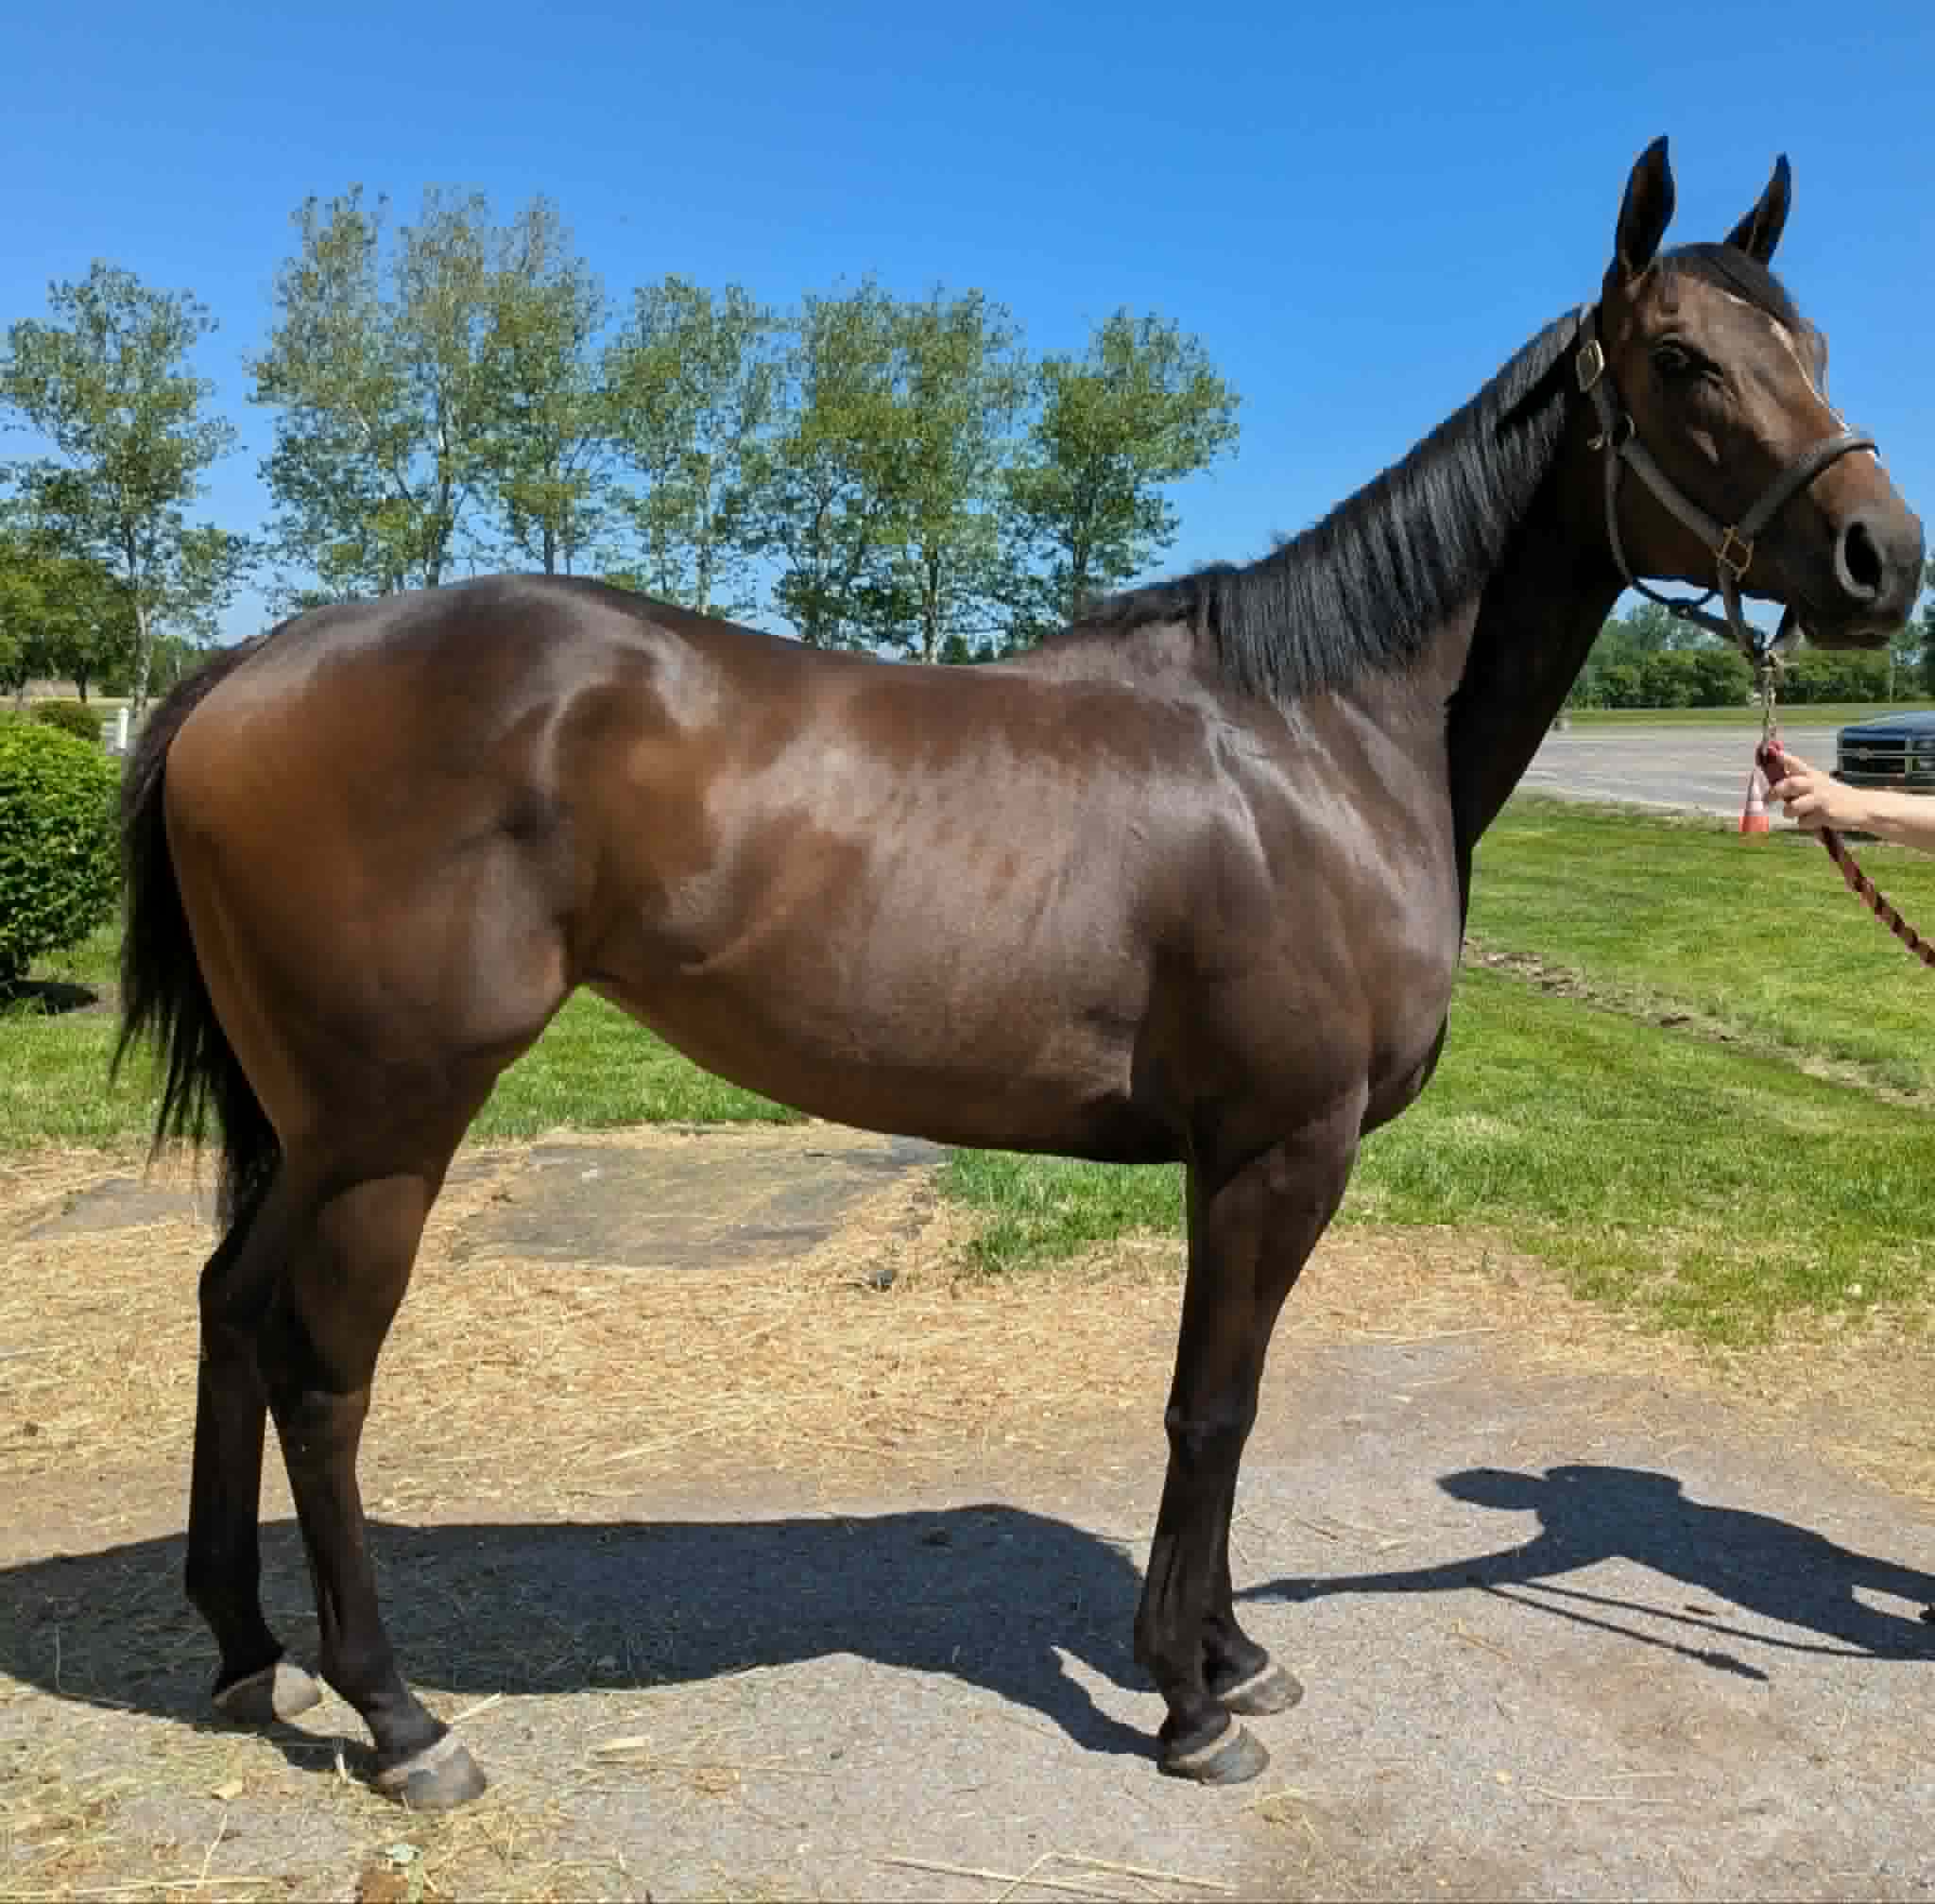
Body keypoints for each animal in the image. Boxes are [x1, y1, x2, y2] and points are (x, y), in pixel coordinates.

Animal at [115, 137, 1923, 1809]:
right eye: (1682, 359)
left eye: (1814, 342)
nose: (1878, 559)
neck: (1316, 741)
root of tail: (243, 672)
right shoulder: (1278, 1149)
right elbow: (1214, 1408)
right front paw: (1190, 1701)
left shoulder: (1237, 1158)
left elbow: (1225, 1402)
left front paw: (1229, 1655)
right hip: (389, 1127)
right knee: (322, 1375)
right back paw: (401, 1718)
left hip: (310, 1130)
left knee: (225, 1311)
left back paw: (247, 1648)